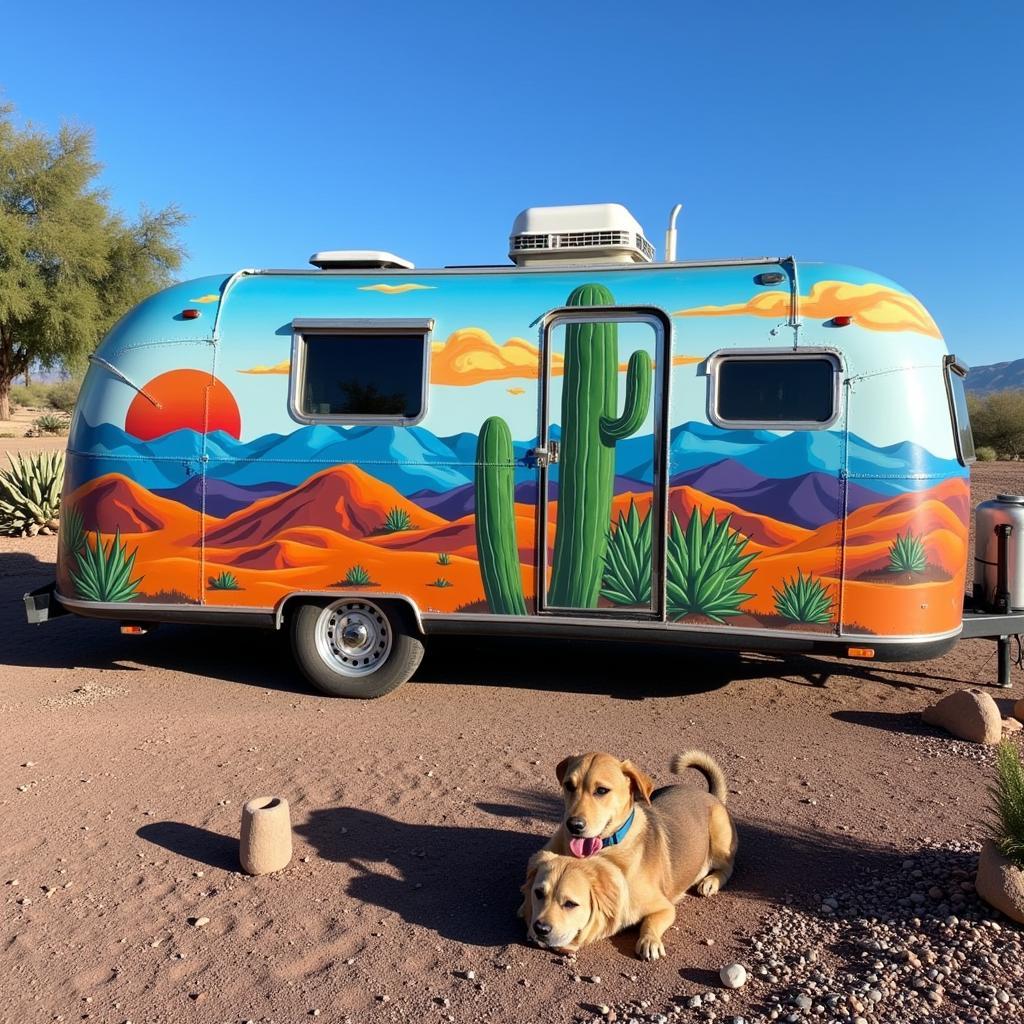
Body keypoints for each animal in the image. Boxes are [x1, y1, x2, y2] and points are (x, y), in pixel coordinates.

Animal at [520, 753, 737, 958]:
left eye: (601, 790)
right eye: (569, 786)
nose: (574, 825)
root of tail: (710, 795)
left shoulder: (665, 907)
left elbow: (650, 922)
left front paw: (649, 940)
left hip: (719, 839)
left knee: (727, 867)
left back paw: (710, 882)